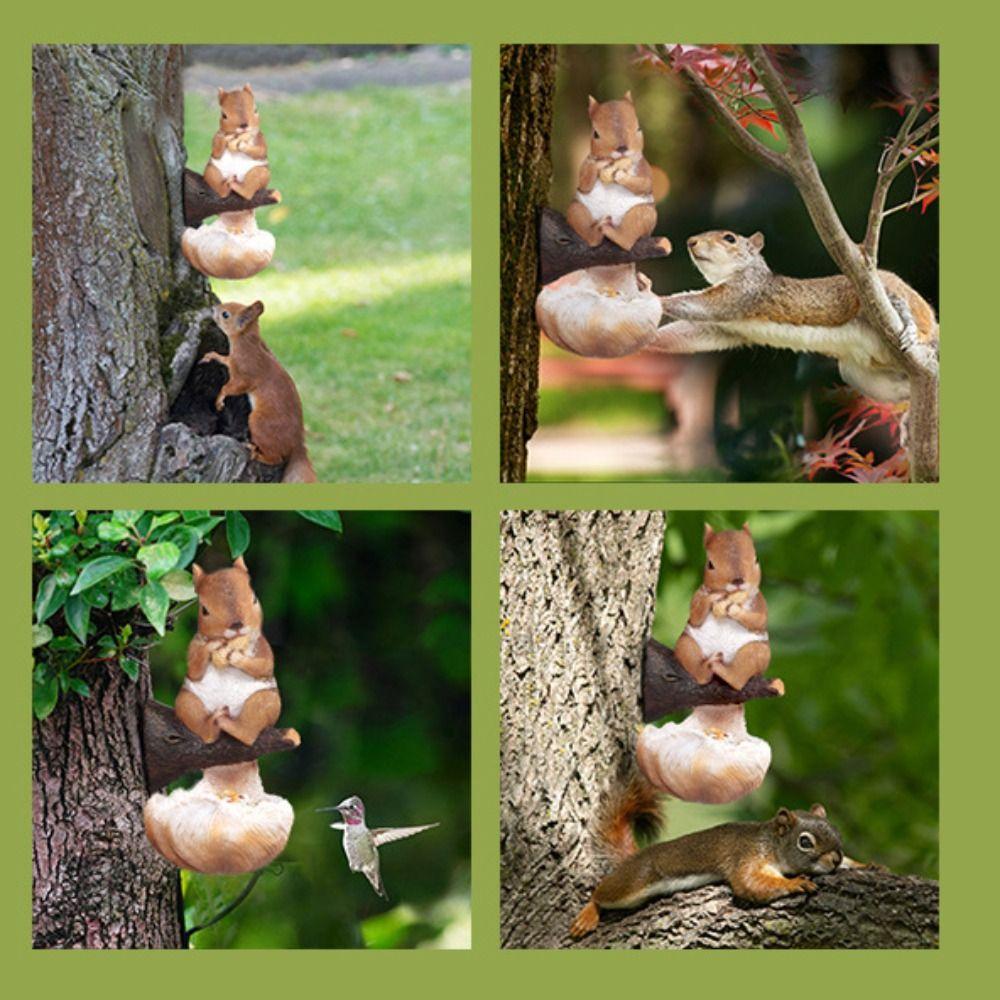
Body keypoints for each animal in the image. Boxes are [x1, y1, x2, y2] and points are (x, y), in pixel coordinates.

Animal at [202, 301, 317, 483]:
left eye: (225, 314)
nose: (213, 308)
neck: (247, 343)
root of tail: (296, 444)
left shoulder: (245, 371)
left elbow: (233, 387)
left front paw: (219, 399)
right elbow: (224, 361)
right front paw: (211, 356)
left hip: (259, 423)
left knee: (276, 458)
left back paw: (257, 453)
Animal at [567, 93, 658, 252]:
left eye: (639, 129)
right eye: (595, 134)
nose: (622, 148)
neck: (614, 162)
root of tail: (613, 223)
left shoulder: (643, 166)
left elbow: (645, 184)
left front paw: (620, 175)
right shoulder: (586, 163)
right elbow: (584, 183)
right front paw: (599, 166)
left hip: (644, 214)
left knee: (627, 239)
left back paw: (612, 232)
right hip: (577, 209)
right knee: (585, 227)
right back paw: (597, 231)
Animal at [569, 797, 845, 939]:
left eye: (836, 831)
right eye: (805, 842)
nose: (836, 860)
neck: (771, 843)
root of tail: (635, 858)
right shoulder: (746, 857)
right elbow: (749, 883)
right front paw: (797, 882)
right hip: (633, 882)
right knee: (601, 894)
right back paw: (587, 915)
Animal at [655, 230, 939, 403]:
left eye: (729, 238)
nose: (691, 242)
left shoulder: (744, 294)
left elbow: (699, 303)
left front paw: (653, 296)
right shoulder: (724, 328)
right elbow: (691, 334)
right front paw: (651, 338)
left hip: (882, 295)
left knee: (905, 309)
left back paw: (912, 331)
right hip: (862, 375)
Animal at [674, 523, 776, 692]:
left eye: (757, 559)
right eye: (710, 564)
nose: (738, 580)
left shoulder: (760, 601)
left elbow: (759, 620)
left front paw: (733, 609)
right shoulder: (697, 595)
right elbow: (695, 615)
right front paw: (712, 599)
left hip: (758, 652)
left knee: (740, 675)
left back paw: (725, 672)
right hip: (686, 643)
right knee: (692, 659)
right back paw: (706, 668)